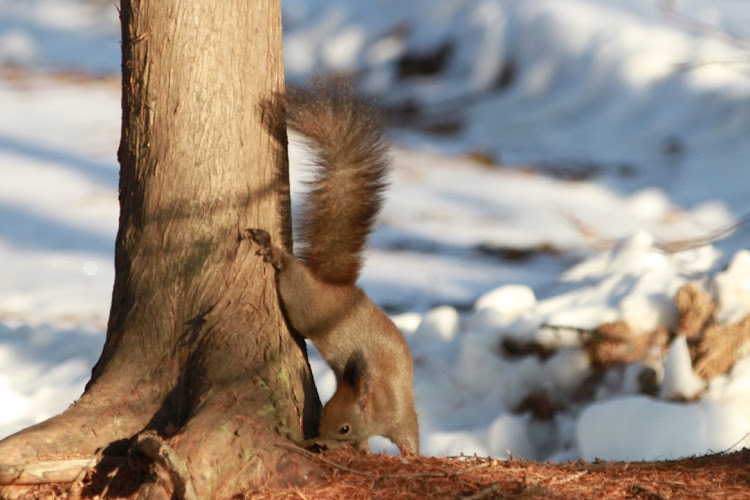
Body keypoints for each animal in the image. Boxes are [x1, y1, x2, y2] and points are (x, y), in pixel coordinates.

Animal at [250, 79, 420, 458]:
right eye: (324, 412)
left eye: (343, 427)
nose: (317, 443)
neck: (380, 396)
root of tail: (338, 288)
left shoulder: (402, 411)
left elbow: (409, 434)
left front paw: (407, 455)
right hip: (309, 308)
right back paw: (274, 251)